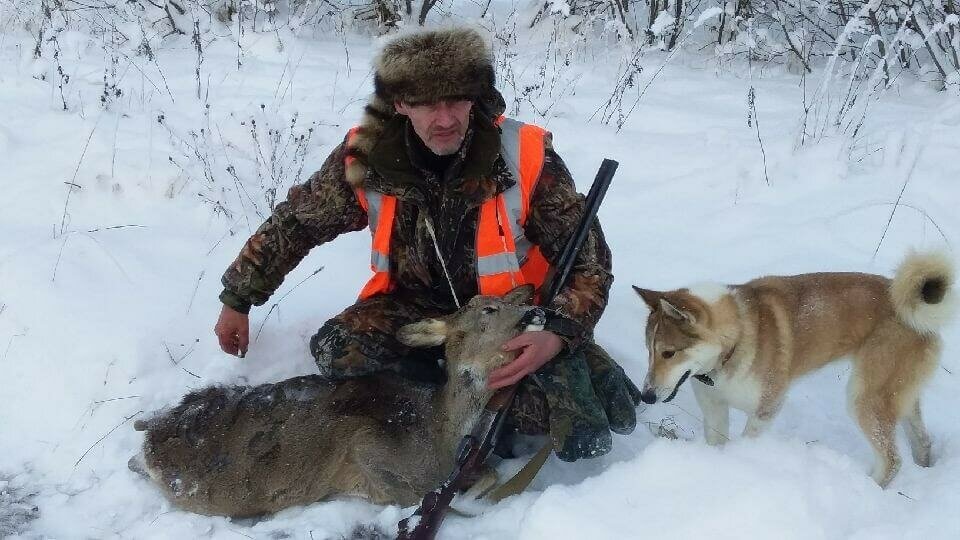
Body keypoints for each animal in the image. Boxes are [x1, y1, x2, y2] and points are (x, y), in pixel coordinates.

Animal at [633, 251, 954, 486]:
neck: (736, 340)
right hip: (898, 394)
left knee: (892, 460)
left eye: (669, 353)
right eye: (648, 350)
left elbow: (748, 438)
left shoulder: (767, 408)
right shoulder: (714, 409)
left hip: (865, 399)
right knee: (922, 441)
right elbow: (717, 441)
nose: (645, 396)